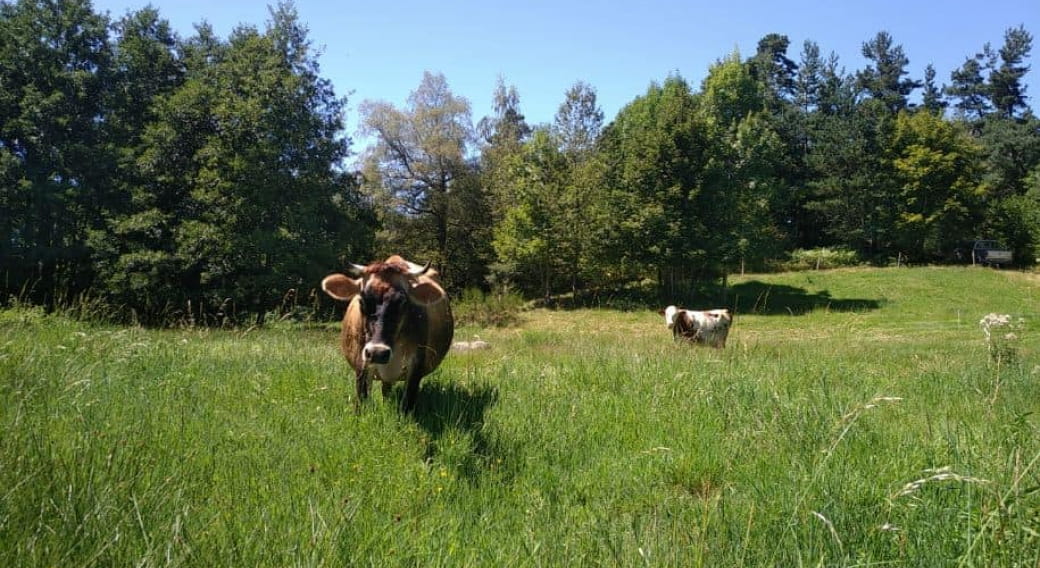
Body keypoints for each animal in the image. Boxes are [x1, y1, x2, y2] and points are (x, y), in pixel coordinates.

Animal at [318, 253, 453, 409]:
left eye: (403, 301)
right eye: (362, 300)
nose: (378, 352)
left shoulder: (416, 365)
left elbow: (407, 403)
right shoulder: (361, 362)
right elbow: (362, 400)